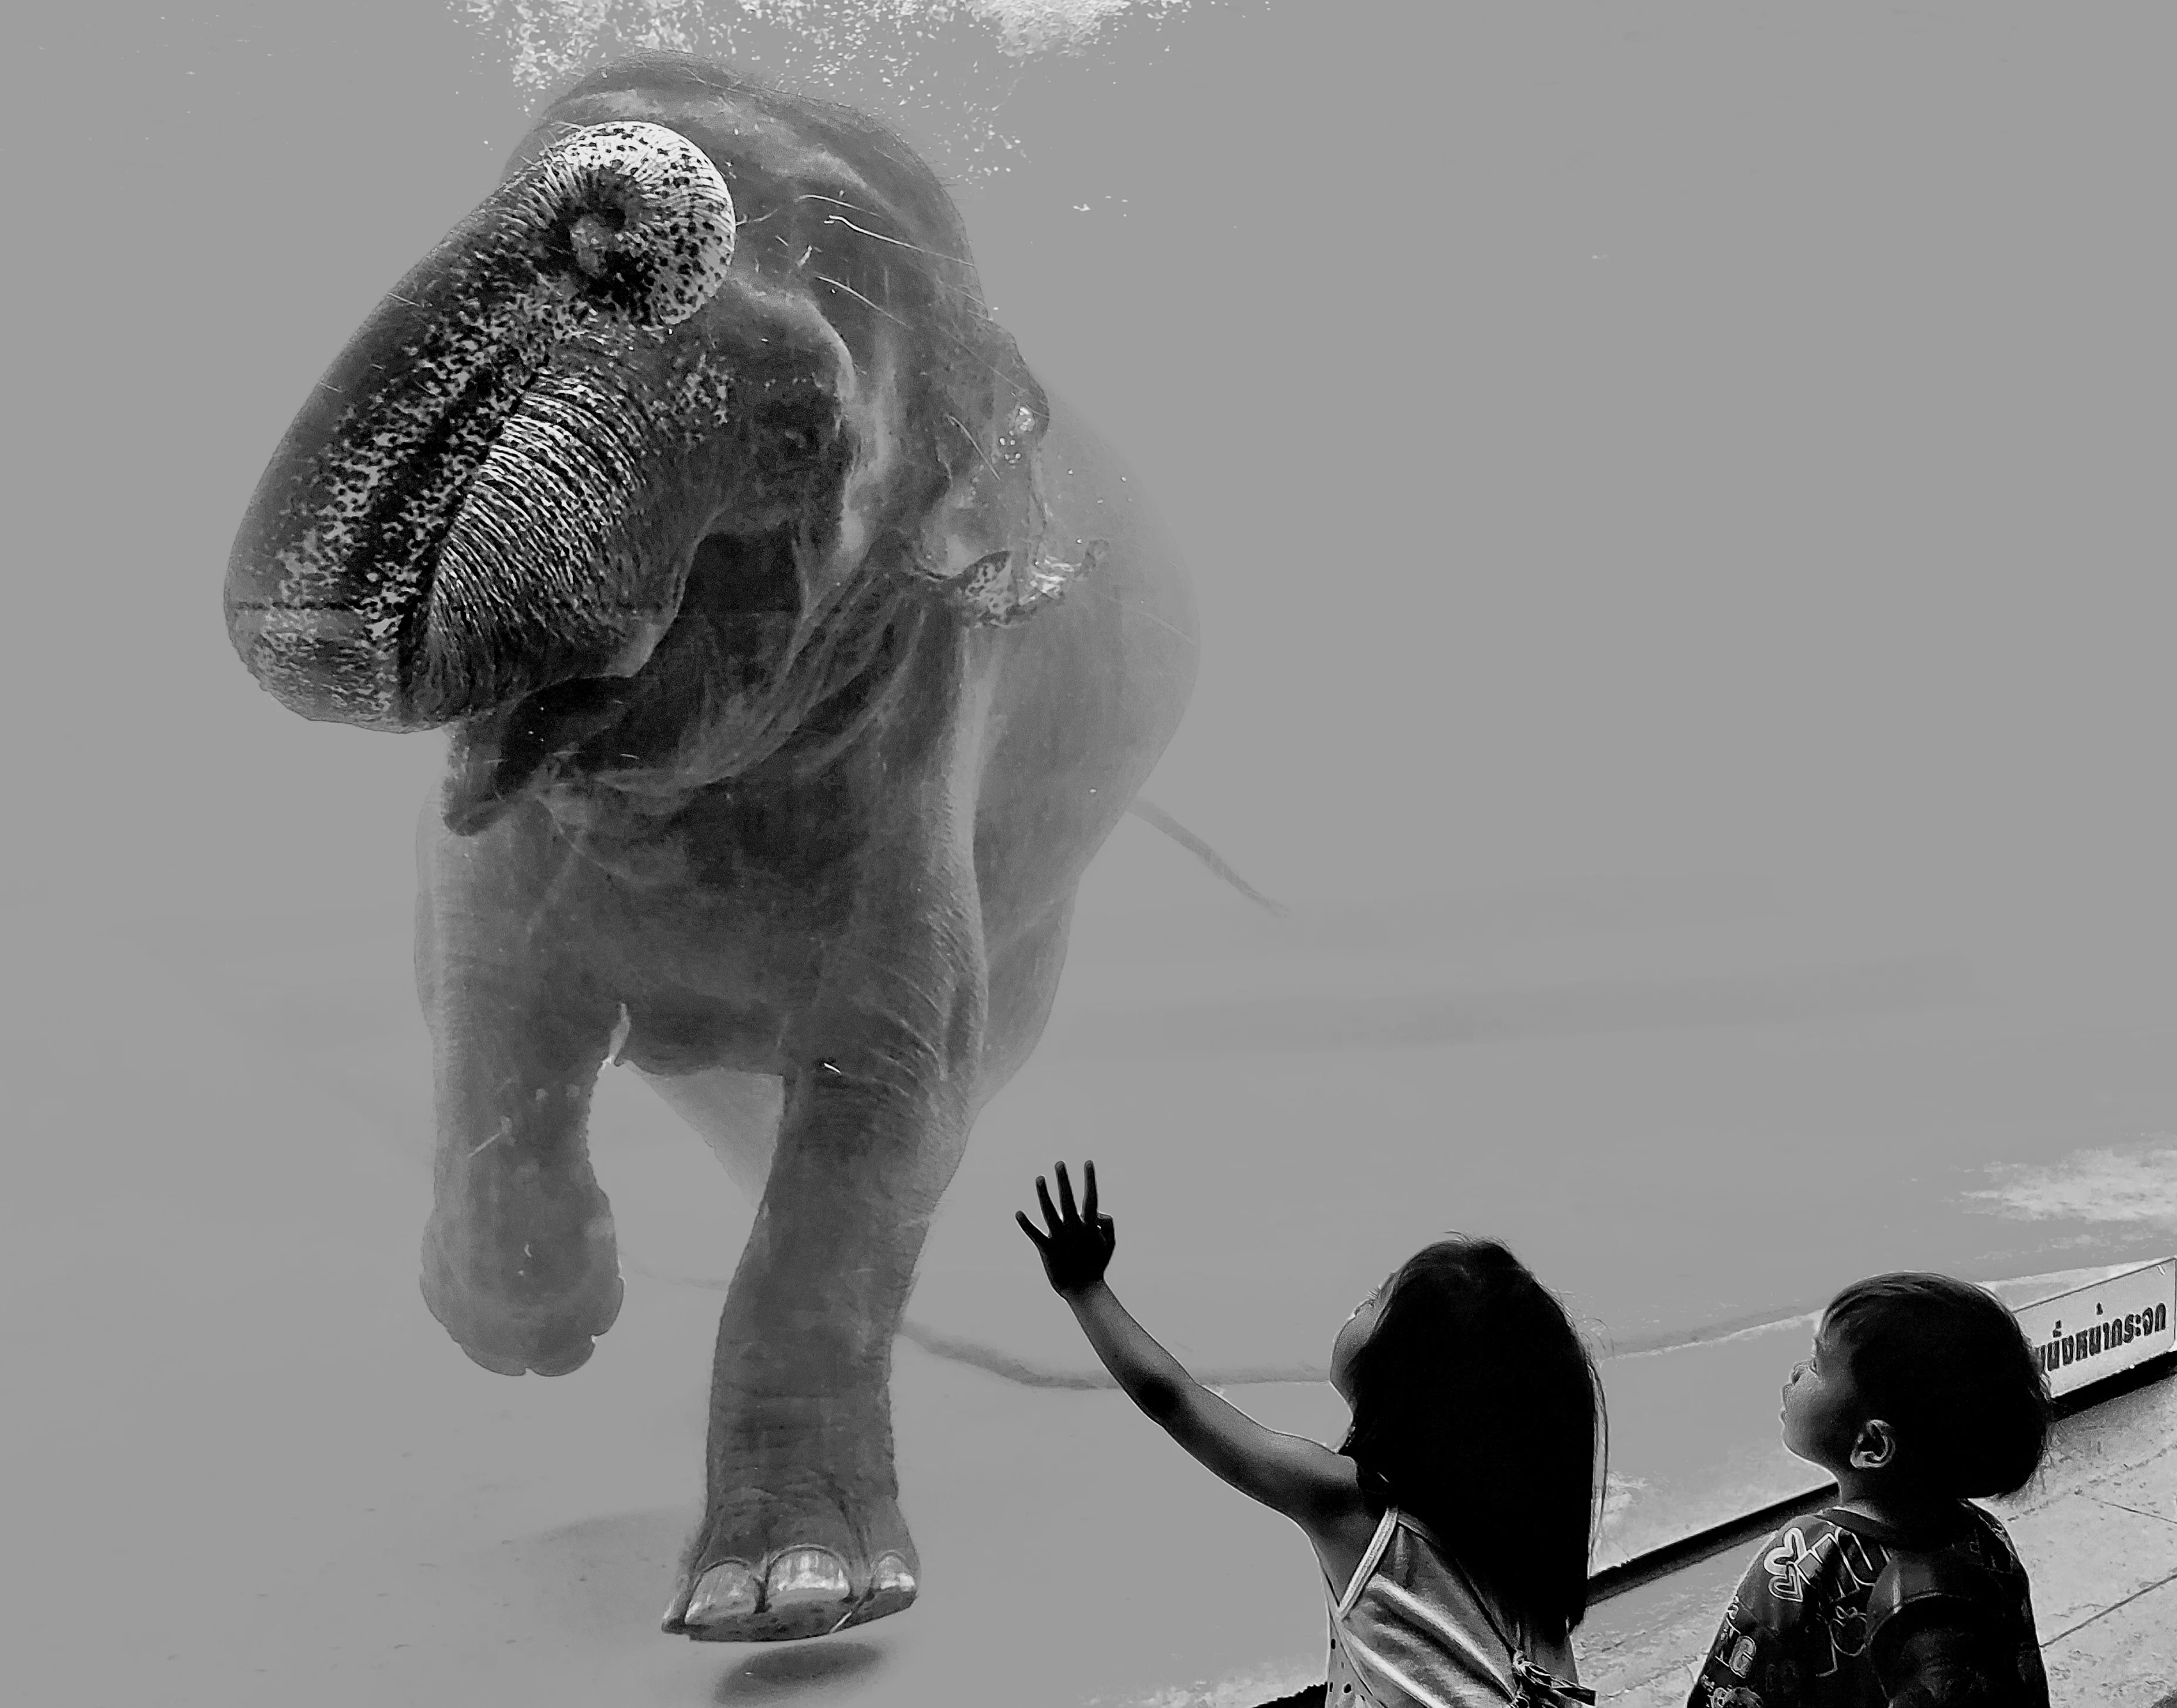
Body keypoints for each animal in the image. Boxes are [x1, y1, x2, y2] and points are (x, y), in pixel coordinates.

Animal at [224, 53, 1207, 1641]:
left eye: (802, 431)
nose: (617, 171)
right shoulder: (486, 879)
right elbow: (486, 1001)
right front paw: (536, 1324)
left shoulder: (923, 733)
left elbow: (893, 1087)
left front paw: (791, 1596)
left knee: (979, 1061)